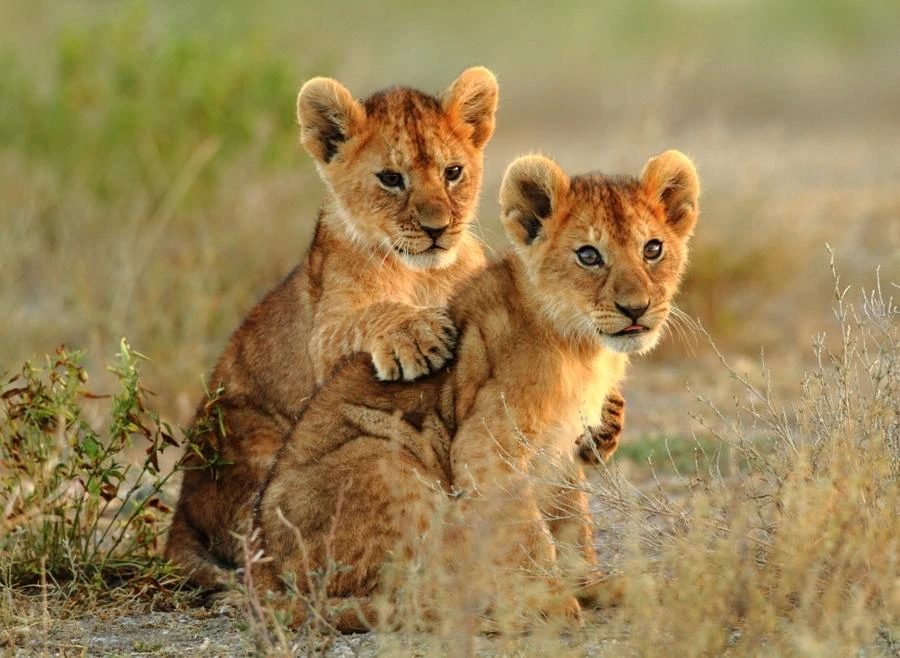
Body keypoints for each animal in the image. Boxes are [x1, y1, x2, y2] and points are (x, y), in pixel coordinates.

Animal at [254, 149, 701, 630]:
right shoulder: (486, 444)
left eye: (652, 249)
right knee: (389, 593)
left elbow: (570, 520)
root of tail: (264, 573)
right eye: (588, 255)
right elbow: (525, 530)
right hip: (386, 459)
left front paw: (590, 583)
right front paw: (548, 599)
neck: (583, 348)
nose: (636, 309)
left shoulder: (560, 447)